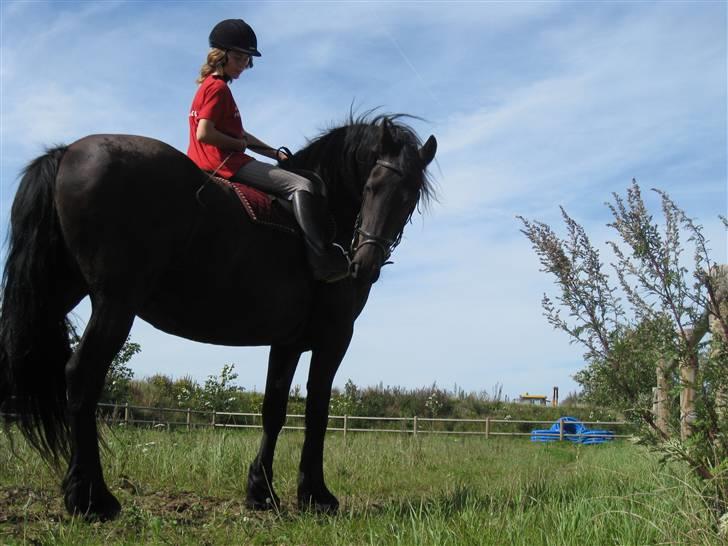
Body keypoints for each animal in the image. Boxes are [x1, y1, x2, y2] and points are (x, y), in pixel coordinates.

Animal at [0, 113, 432, 520]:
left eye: (410, 197)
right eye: (372, 186)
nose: (365, 265)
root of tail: (67, 152)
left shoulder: (287, 342)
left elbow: (274, 410)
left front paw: (262, 492)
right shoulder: (334, 339)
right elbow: (316, 412)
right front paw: (316, 495)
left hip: (55, 297)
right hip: (114, 304)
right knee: (81, 377)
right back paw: (92, 499)